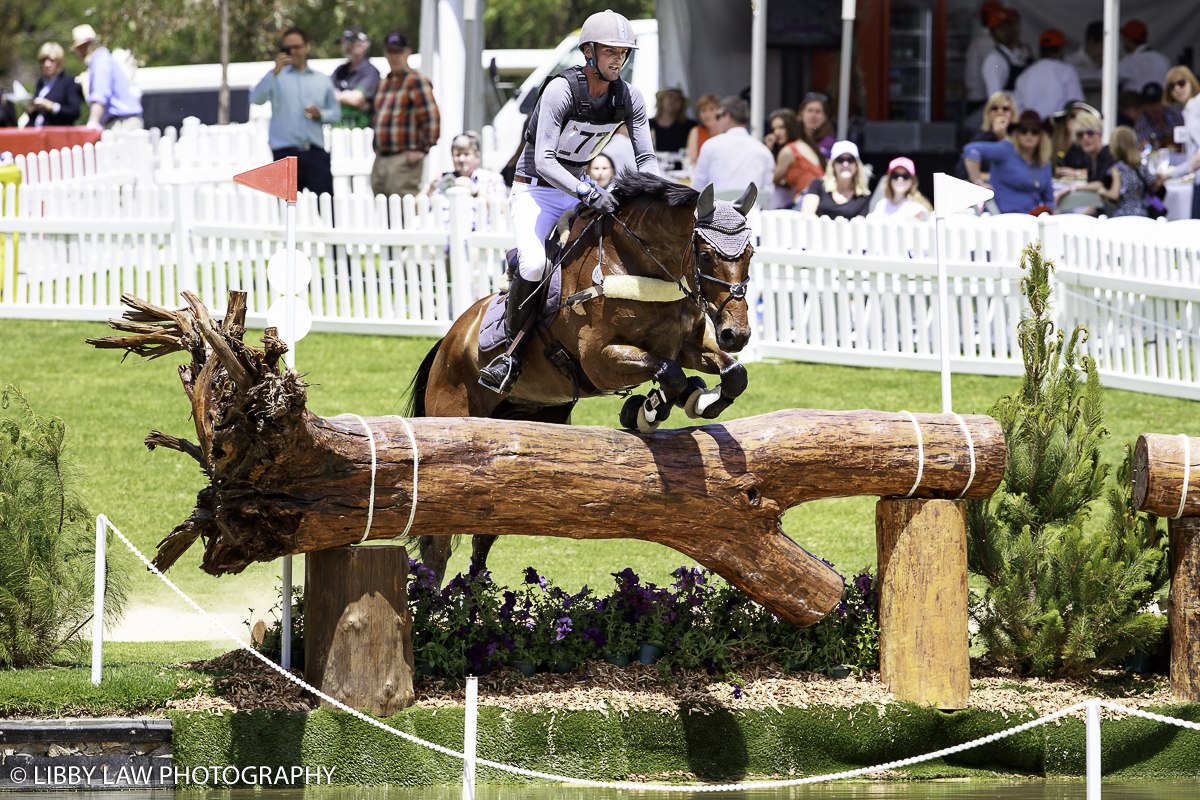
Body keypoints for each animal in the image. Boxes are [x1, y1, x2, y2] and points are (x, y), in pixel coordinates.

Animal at [408, 170, 753, 582]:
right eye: (705, 254)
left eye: (750, 253)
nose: (737, 334)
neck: (642, 270)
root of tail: (449, 340)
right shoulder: (599, 362)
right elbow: (669, 373)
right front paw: (650, 409)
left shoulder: (689, 344)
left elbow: (732, 374)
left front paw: (695, 400)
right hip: (456, 416)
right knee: (437, 544)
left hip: (532, 422)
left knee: (486, 530)